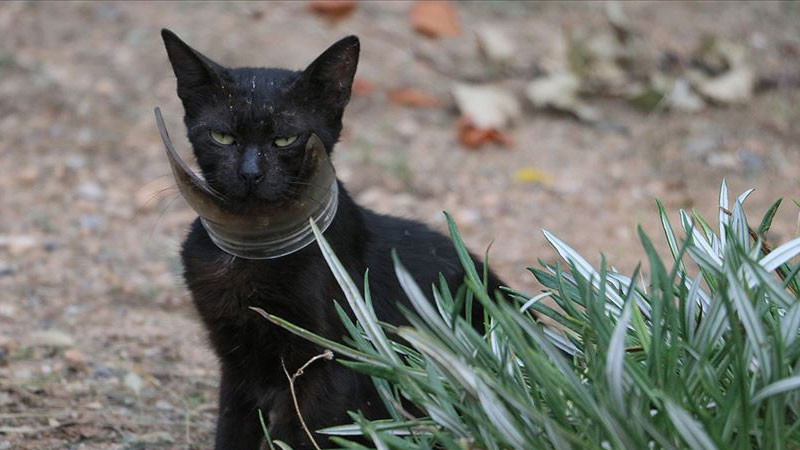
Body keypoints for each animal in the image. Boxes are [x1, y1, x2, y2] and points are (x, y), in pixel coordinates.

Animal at [159, 29, 504, 448]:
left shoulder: (332, 366)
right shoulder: (236, 362)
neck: (253, 250)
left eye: (285, 139)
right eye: (222, 136)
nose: (250, 173)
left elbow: (300, 436)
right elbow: (232, 431)